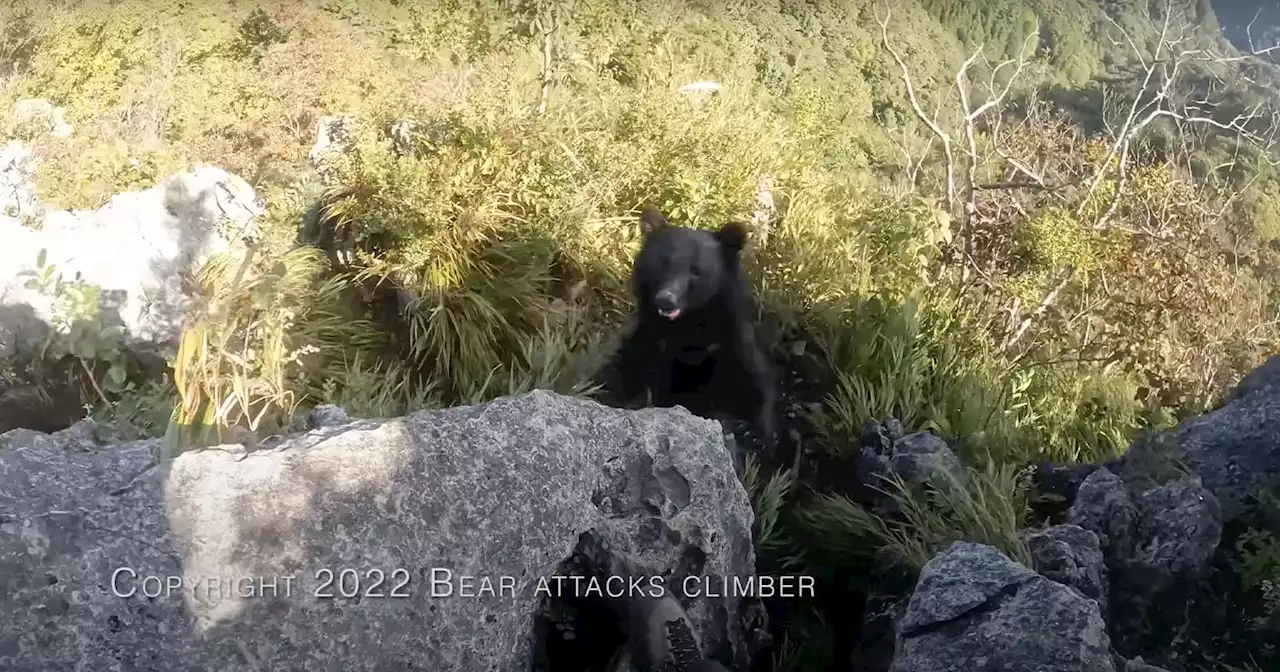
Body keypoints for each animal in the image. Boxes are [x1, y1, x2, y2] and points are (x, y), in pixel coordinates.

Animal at [611, 206, 778, 455]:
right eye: (663, 263)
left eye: (696, 271)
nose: (666, 300)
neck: (689, 326)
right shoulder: (648, 346)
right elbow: (636, 376)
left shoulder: (732, 345)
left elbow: (758, 382)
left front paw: (754, 433)